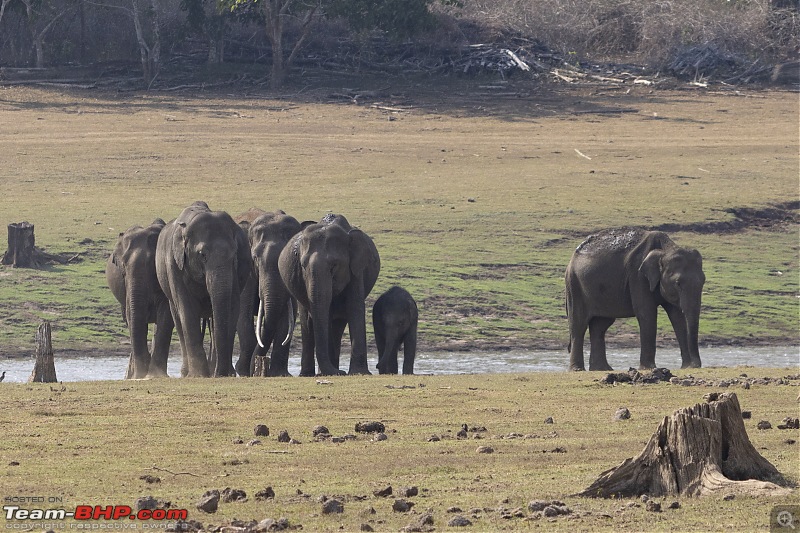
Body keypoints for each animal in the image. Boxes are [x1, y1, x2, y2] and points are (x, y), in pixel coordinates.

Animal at [106, 217, 173, 378]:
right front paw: (140, 375)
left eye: (152, 264)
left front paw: (154, 375)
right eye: (123, 266)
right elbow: (131, 315)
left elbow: (166, 314)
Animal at [155, 201, 250, 378]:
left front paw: (223, 374)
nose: (221, 373)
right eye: (202, 255)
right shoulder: (175, 265)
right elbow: (187, 311)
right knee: (178, 319)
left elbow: (232, 307)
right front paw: (199, 375)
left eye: (234, 255)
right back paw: (188, 372)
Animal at [236, 206, 304, 376]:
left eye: (291, 257)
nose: (254, 371)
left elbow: (287, 318)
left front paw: (280, 374)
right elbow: (243, 313)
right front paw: (244, 372)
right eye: (255, 258)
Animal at [278, 212, 382, 374]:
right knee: (308, 320)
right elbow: (324, 313)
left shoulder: (356, 268)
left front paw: (358, 372)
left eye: (334, 266)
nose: (340, 372)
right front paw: (335, 372)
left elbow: (354, 307)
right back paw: (309, 374)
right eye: (303, 265)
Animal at [564, 228, 708, 370]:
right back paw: (578, 369)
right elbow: (647, 313)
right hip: (574, 285)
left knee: (600, 326)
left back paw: (603, 369)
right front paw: (649, 368)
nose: (696, 365)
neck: (665, 249)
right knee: (579, 325)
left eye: (703, 280)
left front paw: (686, 367)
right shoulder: (638, 276)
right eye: (678, 283)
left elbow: (677, 317)